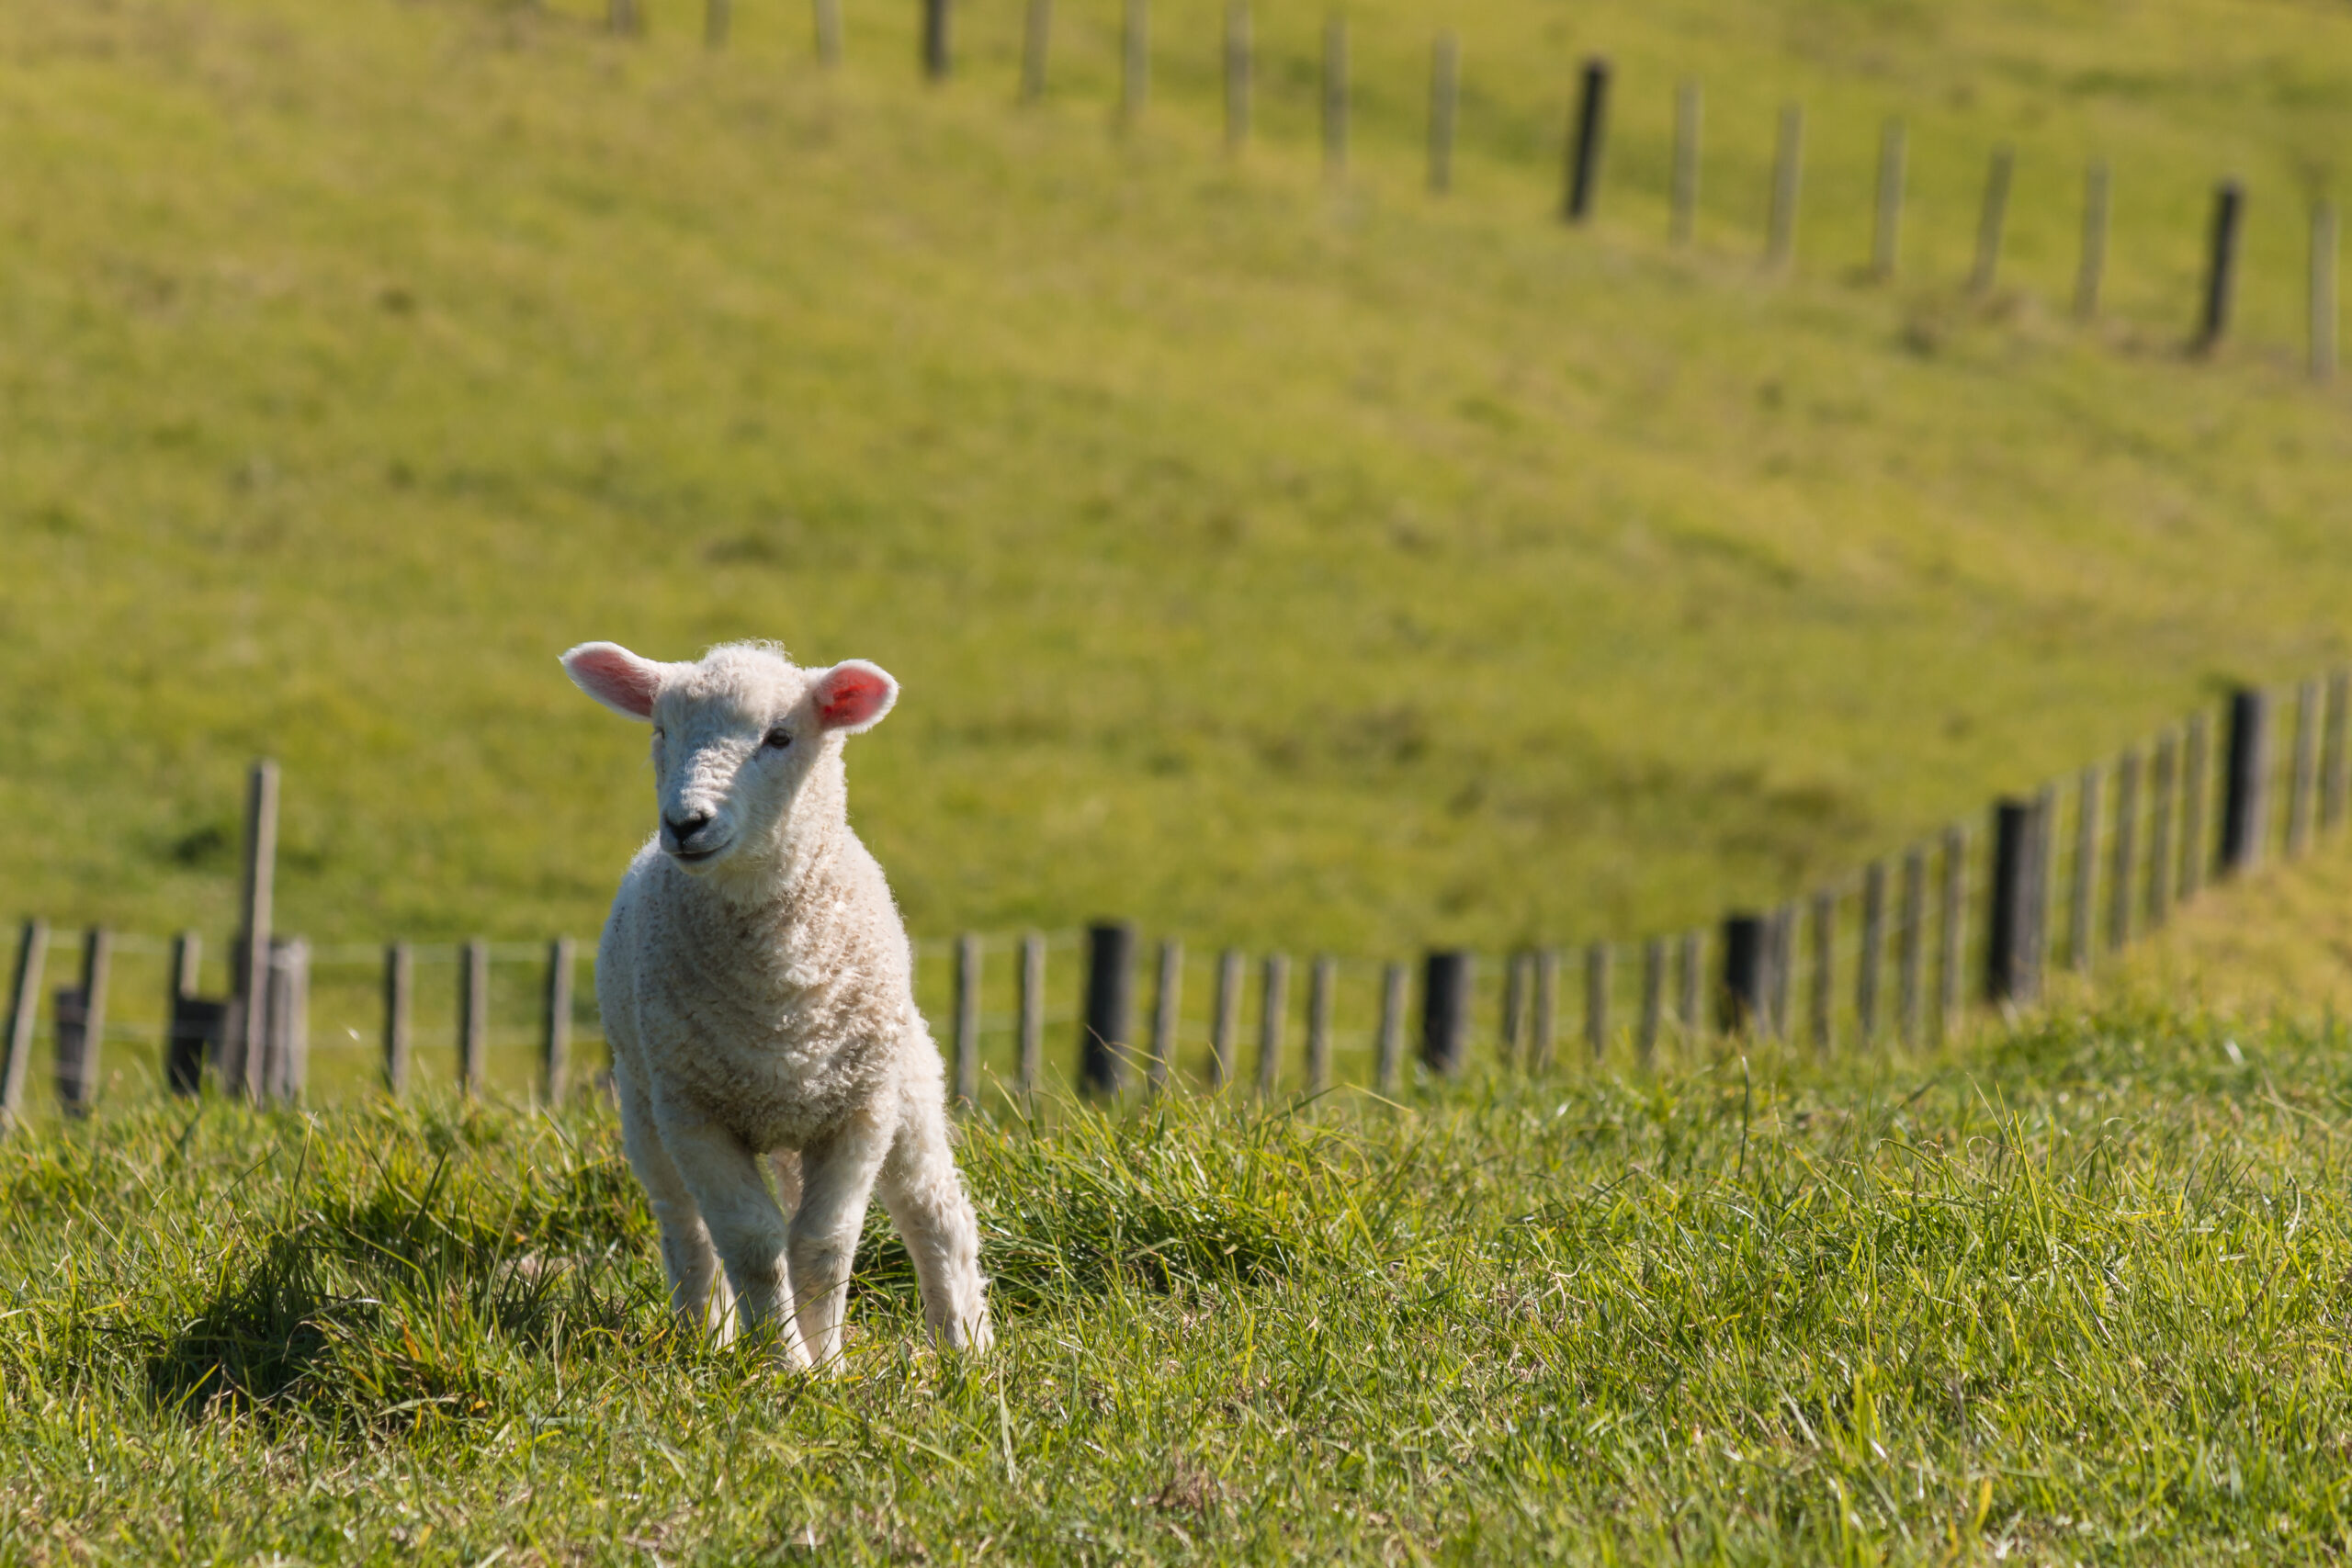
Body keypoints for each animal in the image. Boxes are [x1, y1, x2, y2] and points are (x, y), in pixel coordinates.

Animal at [560, 639, 992, 1372]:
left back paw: (967, 1349)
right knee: (685, 1227)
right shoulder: (695, 1112)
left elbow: (824, 1242)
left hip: (903, 1082)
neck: (781, 999)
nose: (686, 823)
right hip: (645, 1106)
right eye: (661, 731)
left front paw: (828, 1365)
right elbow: (754, 1243)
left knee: (932, 1208)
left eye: (780, 737)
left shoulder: (860, 1110)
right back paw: (704, 1335)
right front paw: (783, 1363)